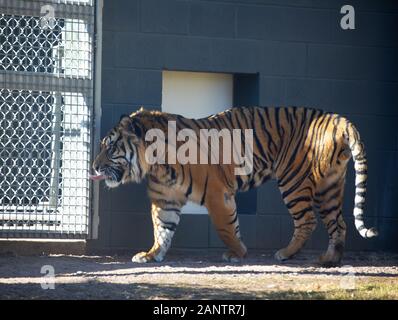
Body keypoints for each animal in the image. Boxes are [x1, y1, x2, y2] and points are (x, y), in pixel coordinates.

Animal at [91, 106, 378, 266]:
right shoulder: (165, 200)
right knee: (338, 223)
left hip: (294, 179)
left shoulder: (217, 194)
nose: (93, 166)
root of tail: (338, 120)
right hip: (330, 185)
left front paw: (238, 252)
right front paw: (151, 255)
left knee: (307, 220)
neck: (156, 163)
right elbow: (162, 231)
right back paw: (330, 259)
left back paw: (285, 253)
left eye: (111, 147)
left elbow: (226, 228)